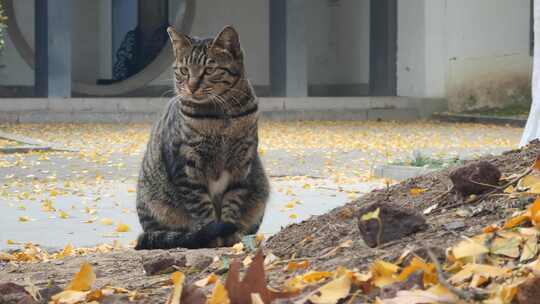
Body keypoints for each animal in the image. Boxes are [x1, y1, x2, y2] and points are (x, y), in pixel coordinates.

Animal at [135, 25, 270, 249]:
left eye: (209, 70)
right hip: (154, 202)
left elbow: (232, 203)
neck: (222, 117)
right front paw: (212, 236)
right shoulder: (187, 167)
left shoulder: (241, 164)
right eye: (184, 70)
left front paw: (230, 235)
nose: (191, 86)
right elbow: (202, 209)